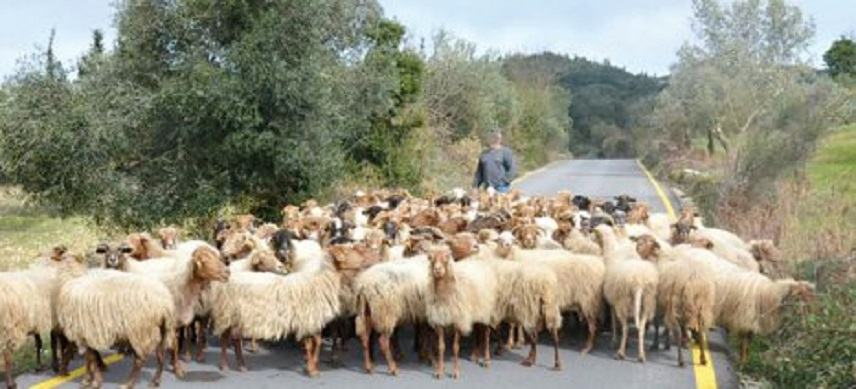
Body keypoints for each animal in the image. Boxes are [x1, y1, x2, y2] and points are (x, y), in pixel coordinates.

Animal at [424, 244, 498, 378]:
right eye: (430, 258)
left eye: (447, 257)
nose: (437, 270)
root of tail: (478, 259)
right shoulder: (440, 320)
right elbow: (441, 347)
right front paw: (439, 371)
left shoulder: (458, 320)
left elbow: (455, 347)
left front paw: (455, 372)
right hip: (475, 311)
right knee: (478, 331)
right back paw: (475, 355)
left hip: (486, 310)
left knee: (486, 334)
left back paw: (486, 360)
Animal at [596, 223, 664, 362]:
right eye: (639, 240)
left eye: (650, 242)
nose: (638, 246)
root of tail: (639, 282)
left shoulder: (614, 301)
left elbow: (614, 321)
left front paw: (614, 341)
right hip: (645, 302)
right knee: (641, 327)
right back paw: (641, 355)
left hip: (624, 301)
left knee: (625, 326)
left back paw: (620, 352)